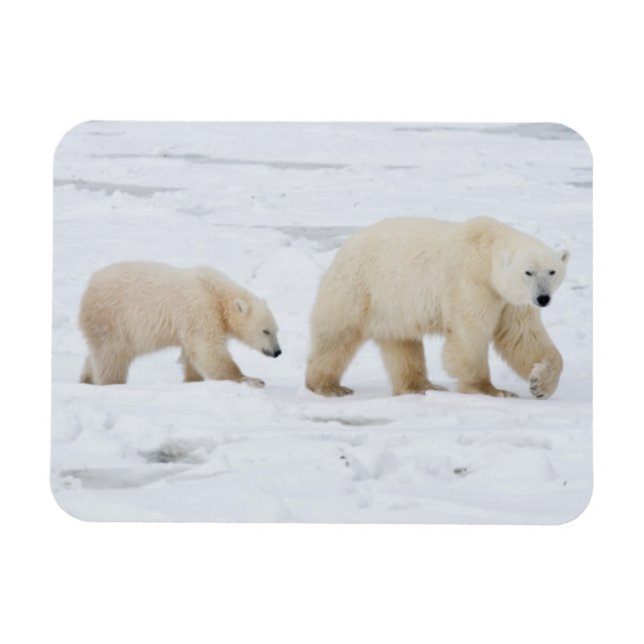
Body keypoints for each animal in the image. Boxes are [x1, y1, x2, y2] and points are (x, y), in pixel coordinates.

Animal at [79, 261, 281, 386]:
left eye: (276, 330)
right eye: (265, 331)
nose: (277, 352)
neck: (216, 293)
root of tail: (89, 287)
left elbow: (193, 354)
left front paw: (192, 380)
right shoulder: (201, 310)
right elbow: (208, 349)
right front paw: (252, 380)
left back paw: (86, 379)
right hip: (112, 318)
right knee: (112, 356)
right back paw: (112, 383)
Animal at [305, 216, 569, 399]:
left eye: (551, 271)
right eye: (528, 272)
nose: (543, 298)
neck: (487, 251)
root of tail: (345, 246)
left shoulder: (511, 301)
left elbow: (522, 337)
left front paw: (540, 384)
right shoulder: (472, 283)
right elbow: (469, 334)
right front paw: (492, 390)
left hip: (394, 306)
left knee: (402, 343)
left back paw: (422, 386)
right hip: (359, 287)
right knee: (337, 335)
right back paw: (329, 386)